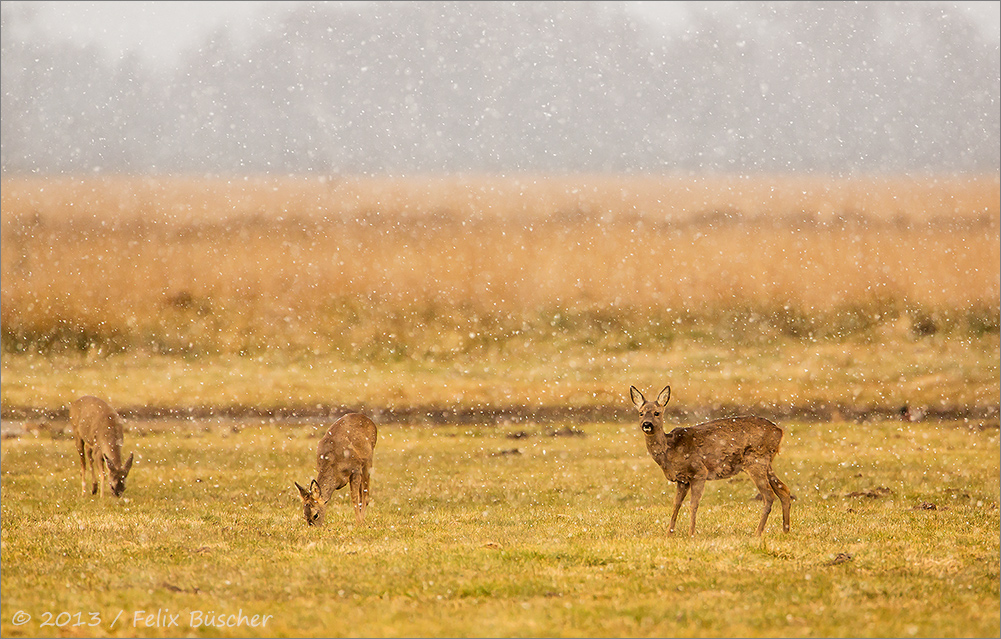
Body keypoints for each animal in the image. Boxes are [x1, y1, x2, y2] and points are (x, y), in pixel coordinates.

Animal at [628, 388, 792, 536]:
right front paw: (669, 533)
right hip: (766, 463)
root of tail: (780, 431)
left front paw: (691, 534)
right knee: (784, 490)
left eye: (657, 413)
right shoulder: (682, 480)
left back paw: (757, 533)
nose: (647, 424)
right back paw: (785, 530)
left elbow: (693, 504)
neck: (670, 451)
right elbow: (676, 504)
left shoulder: (699, 472)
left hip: (756, 460)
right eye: (641, 413)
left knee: (769, 496)